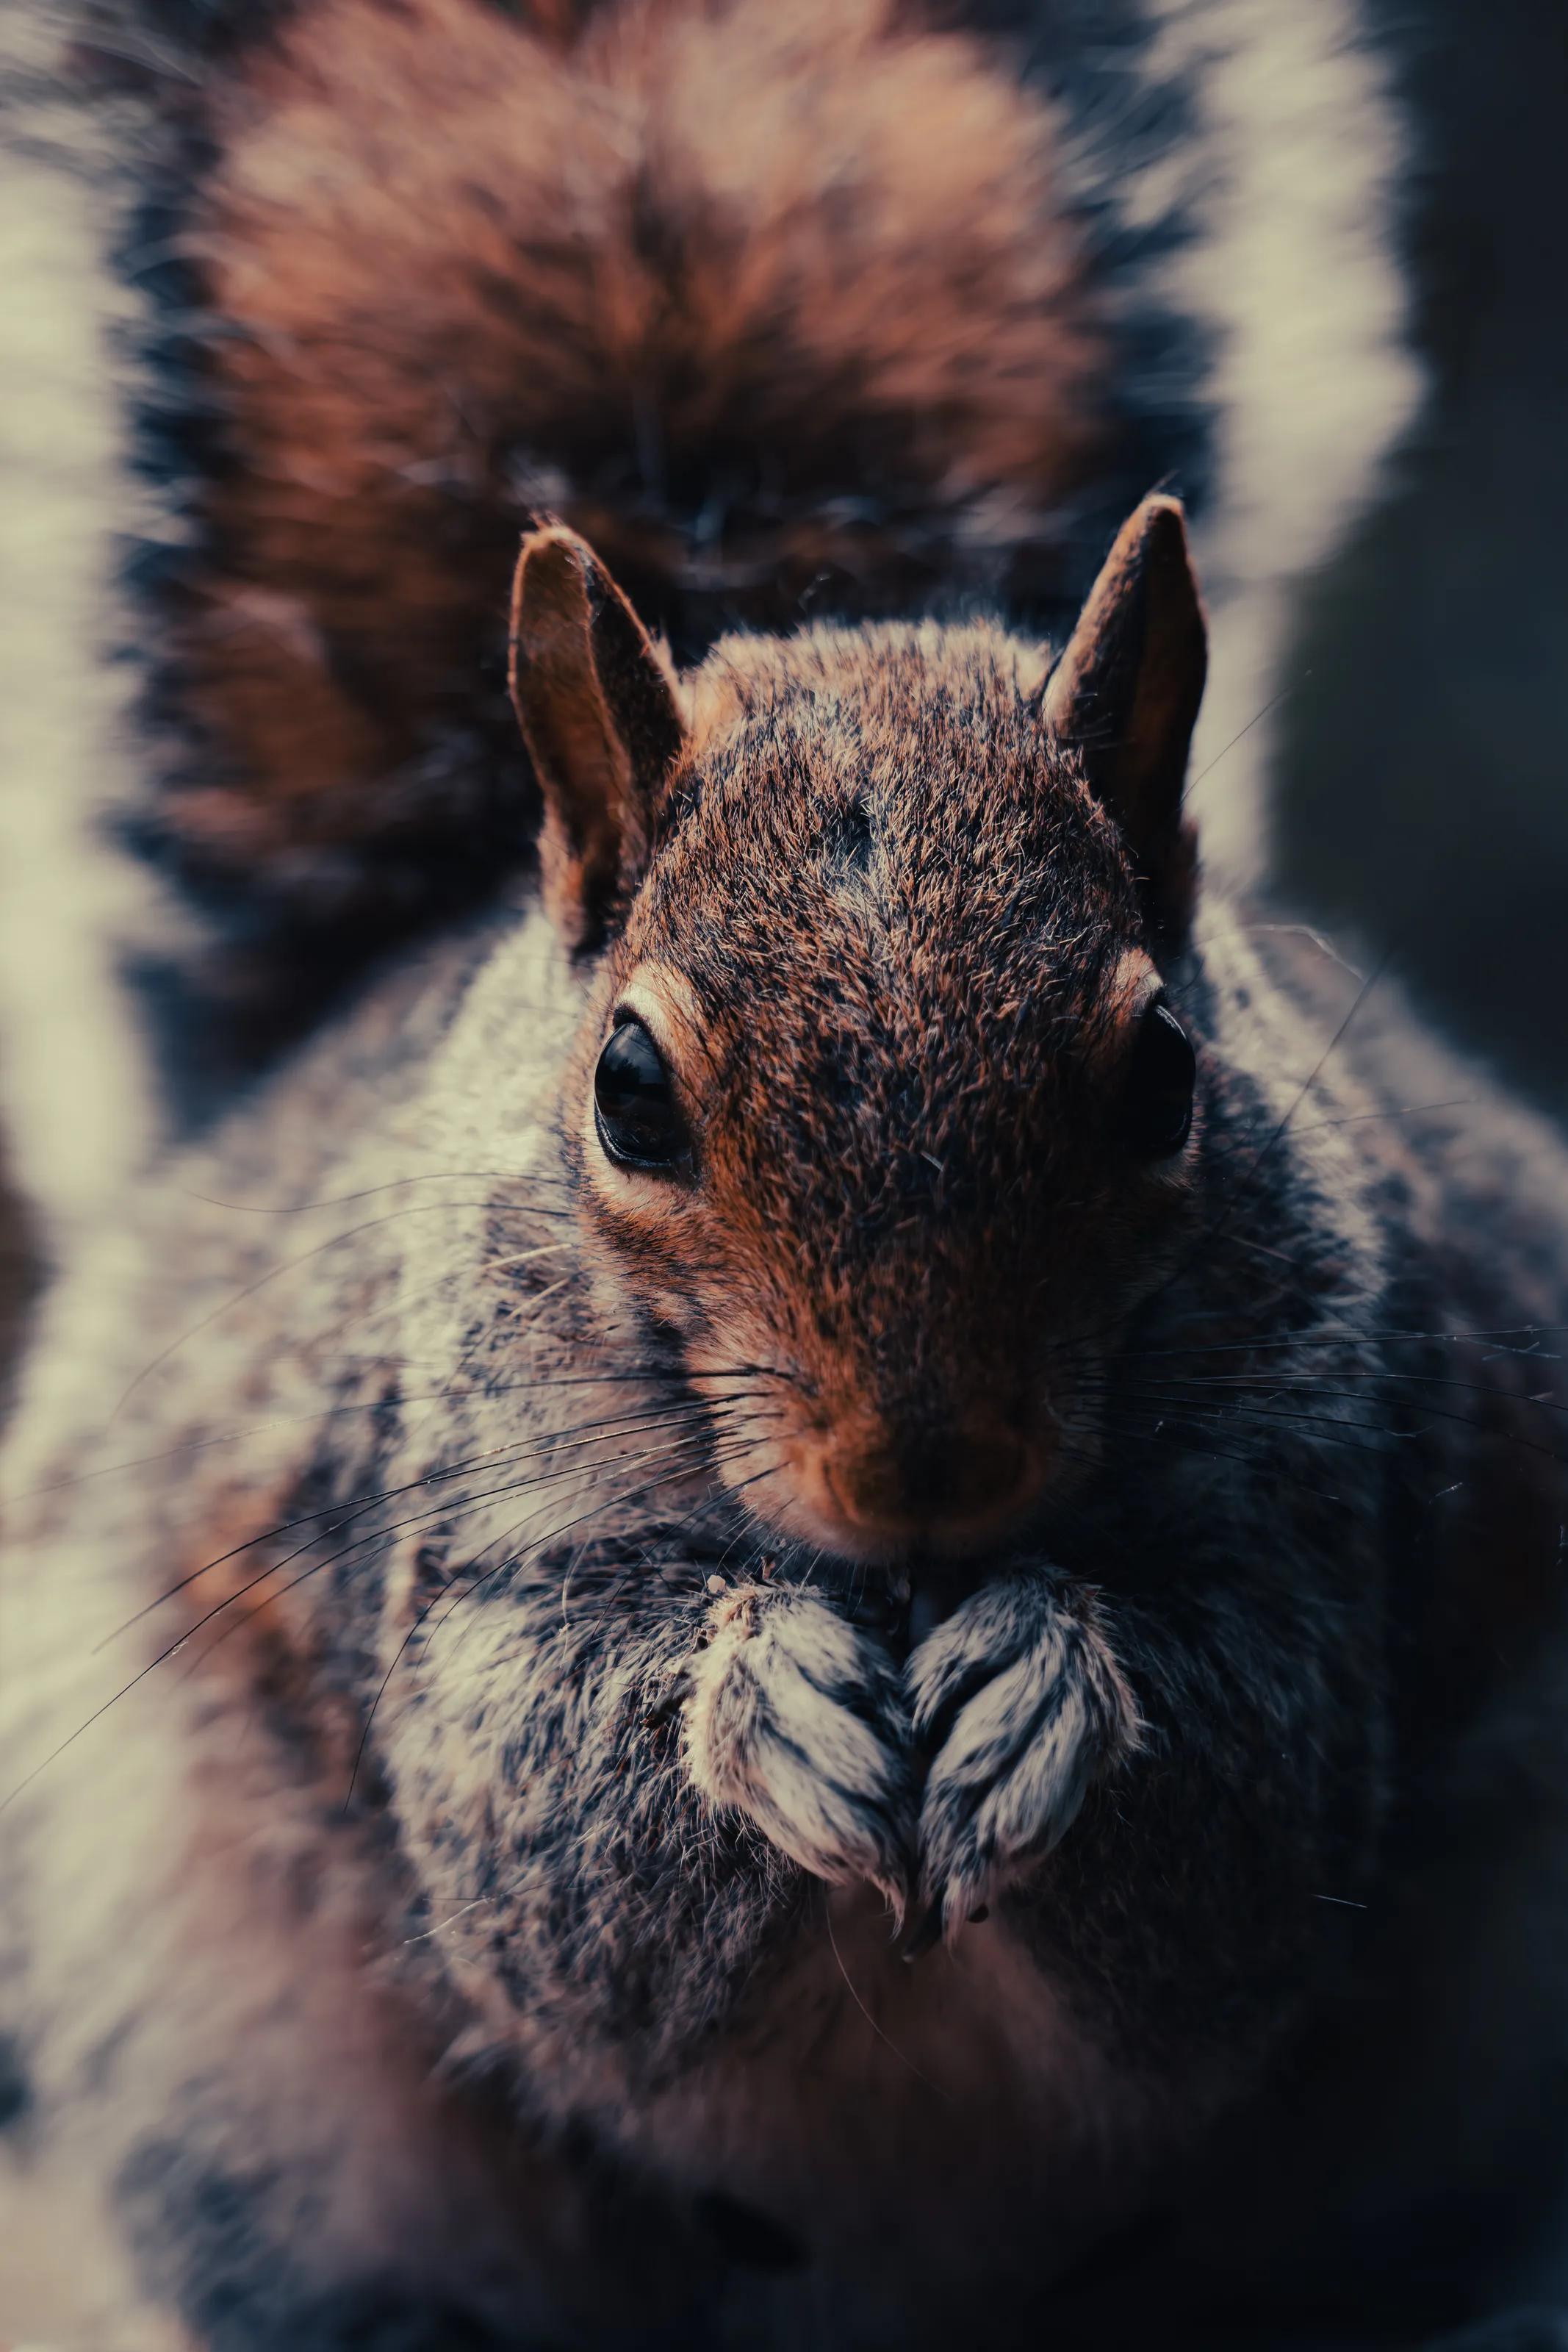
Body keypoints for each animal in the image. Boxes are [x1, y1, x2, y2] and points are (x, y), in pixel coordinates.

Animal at [6, 2, 1568, 2350]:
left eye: (1162, 1076)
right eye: (628, 1093)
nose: (923, 1471)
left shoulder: (1331, 1485)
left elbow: (1247, 1837)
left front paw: (1046, 1685)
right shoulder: (428, 1530)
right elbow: (550, 1868)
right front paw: (754, 1702)